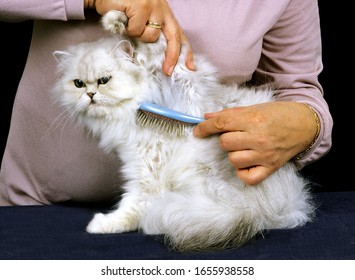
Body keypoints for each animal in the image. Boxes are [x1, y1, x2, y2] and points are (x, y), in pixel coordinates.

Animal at [52, 10, 314, 252]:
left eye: (104, 80)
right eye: (78, 84)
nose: (90, 94)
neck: (135, 107)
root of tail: (264, 210)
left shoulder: (181, 82)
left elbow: (156, 45)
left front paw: (117, 20)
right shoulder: (138, 164)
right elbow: (134, 204)